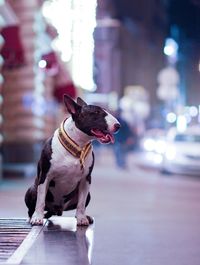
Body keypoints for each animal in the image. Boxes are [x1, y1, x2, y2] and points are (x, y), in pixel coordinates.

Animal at [24, 95, 119, 225]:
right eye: (96, 112)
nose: (118, 125)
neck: (77, 146)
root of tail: (57, 209)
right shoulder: (45, 176)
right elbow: (41, 200)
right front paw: (37, 217)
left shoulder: (86, 179)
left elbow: (81, 204)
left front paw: (82, 218)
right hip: (31, 190)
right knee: (32, 207)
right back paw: (32, 217)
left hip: (88, 195)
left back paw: (86, 217)